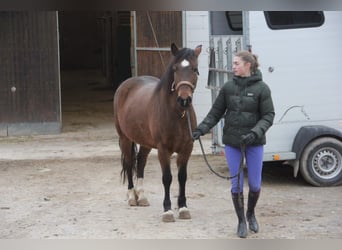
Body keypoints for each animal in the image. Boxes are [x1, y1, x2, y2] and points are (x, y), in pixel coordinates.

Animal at [113, 42, 202, 221]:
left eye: (195, 69)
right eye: (175, 69)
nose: (184, 100)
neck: (177, 114)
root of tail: (125, 84)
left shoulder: (187, 149)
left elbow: (182, 177)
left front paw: (183, 207)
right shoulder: (163, 149)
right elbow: (167, 178)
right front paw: (167, 210)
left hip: (145, 142)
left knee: (140, 162)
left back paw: (142, 197)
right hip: (125, 138)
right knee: (129, 163)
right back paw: (132, 196)